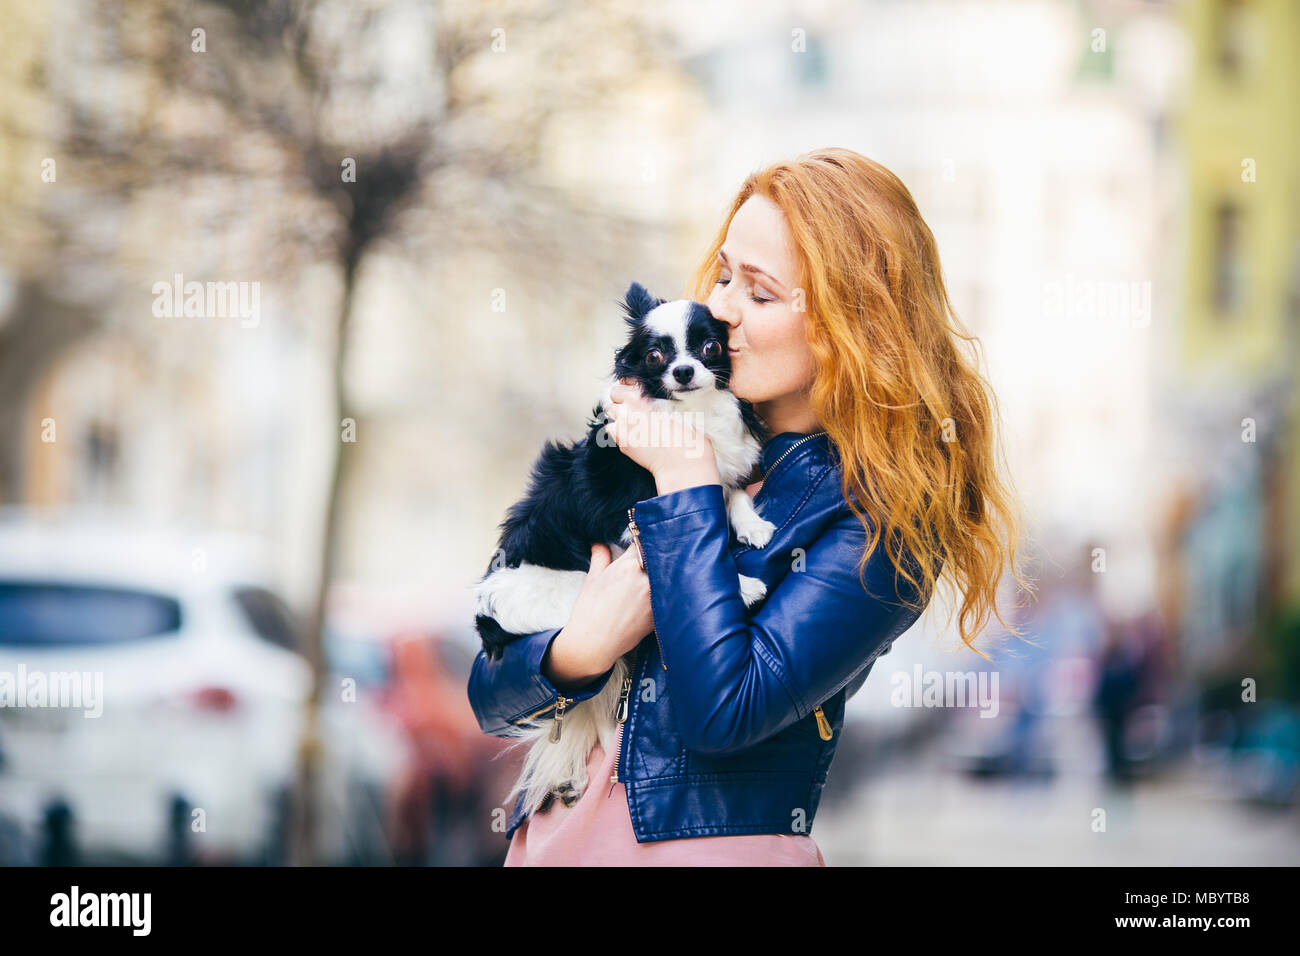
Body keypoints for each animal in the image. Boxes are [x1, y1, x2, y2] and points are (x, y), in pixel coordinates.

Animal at [480, 280, 774, 816]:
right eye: (655, 356)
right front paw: (742, 585)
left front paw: (754, 526)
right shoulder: (628, 517)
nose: (683, 371)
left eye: (710, 348)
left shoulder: (711, 476)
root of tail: (487, 618)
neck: (693, 415)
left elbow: (732, 493)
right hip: (572, 599)